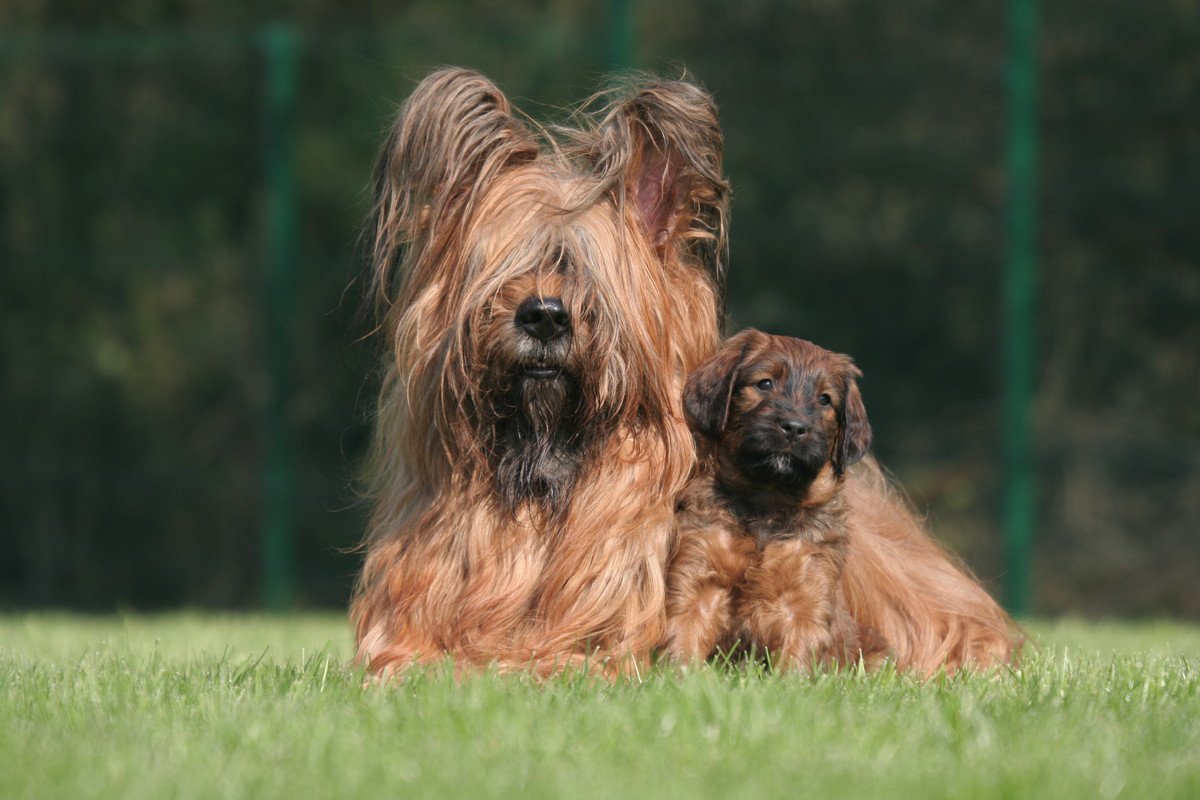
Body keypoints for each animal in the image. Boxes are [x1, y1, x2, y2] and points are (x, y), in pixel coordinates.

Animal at [662, 328, 888, 671]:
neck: (767, 501)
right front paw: (682, 677)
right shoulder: (699, 575)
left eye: (825, 399)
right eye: (765, 383)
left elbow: (797, 654)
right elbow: (685, 634)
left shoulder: (807, 592)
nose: (794, 428)